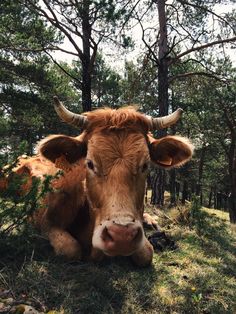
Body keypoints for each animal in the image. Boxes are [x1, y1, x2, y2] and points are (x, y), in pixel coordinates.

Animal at [4, 97, 194, 264]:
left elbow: (146, 254)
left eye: (145, 165)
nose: (121, 236)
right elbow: (70, 249)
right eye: (89, 163)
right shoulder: (45, 222)